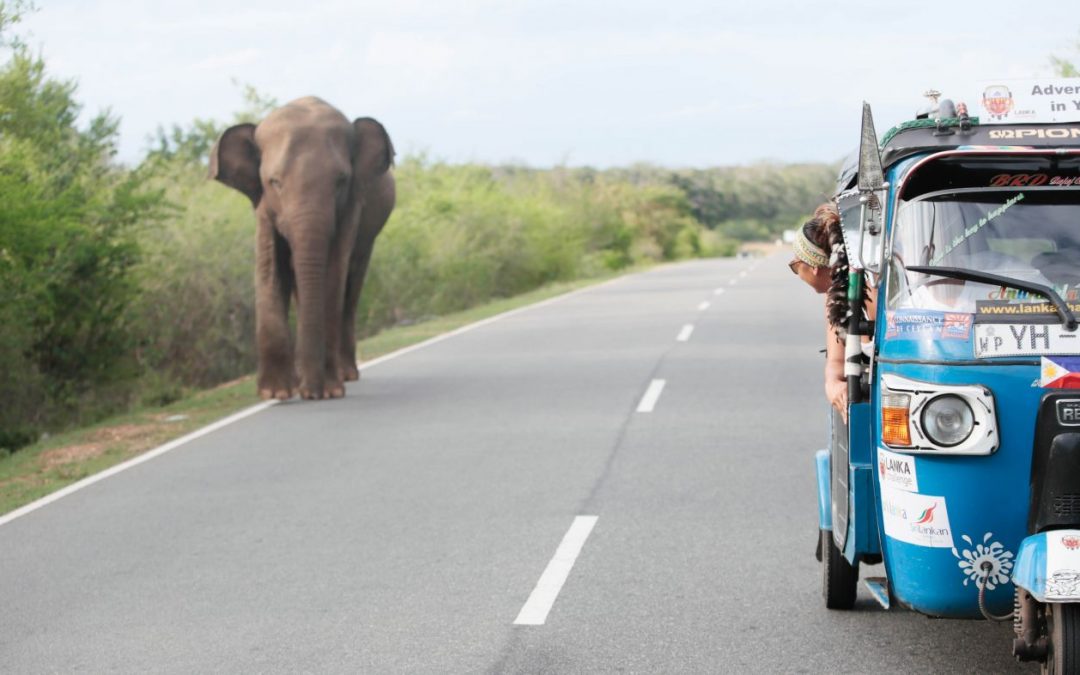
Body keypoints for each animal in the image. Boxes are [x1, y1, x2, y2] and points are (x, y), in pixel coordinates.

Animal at [208, 96, 395, 399]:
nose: (313, 393)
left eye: (341, 181)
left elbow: (333, 274)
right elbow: (270, 269)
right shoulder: (263, 206)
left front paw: (328, 391)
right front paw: (276, 393)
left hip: (369, 237)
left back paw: (346, 375)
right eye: (274, 182)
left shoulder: (351, 205)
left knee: (351, 286)